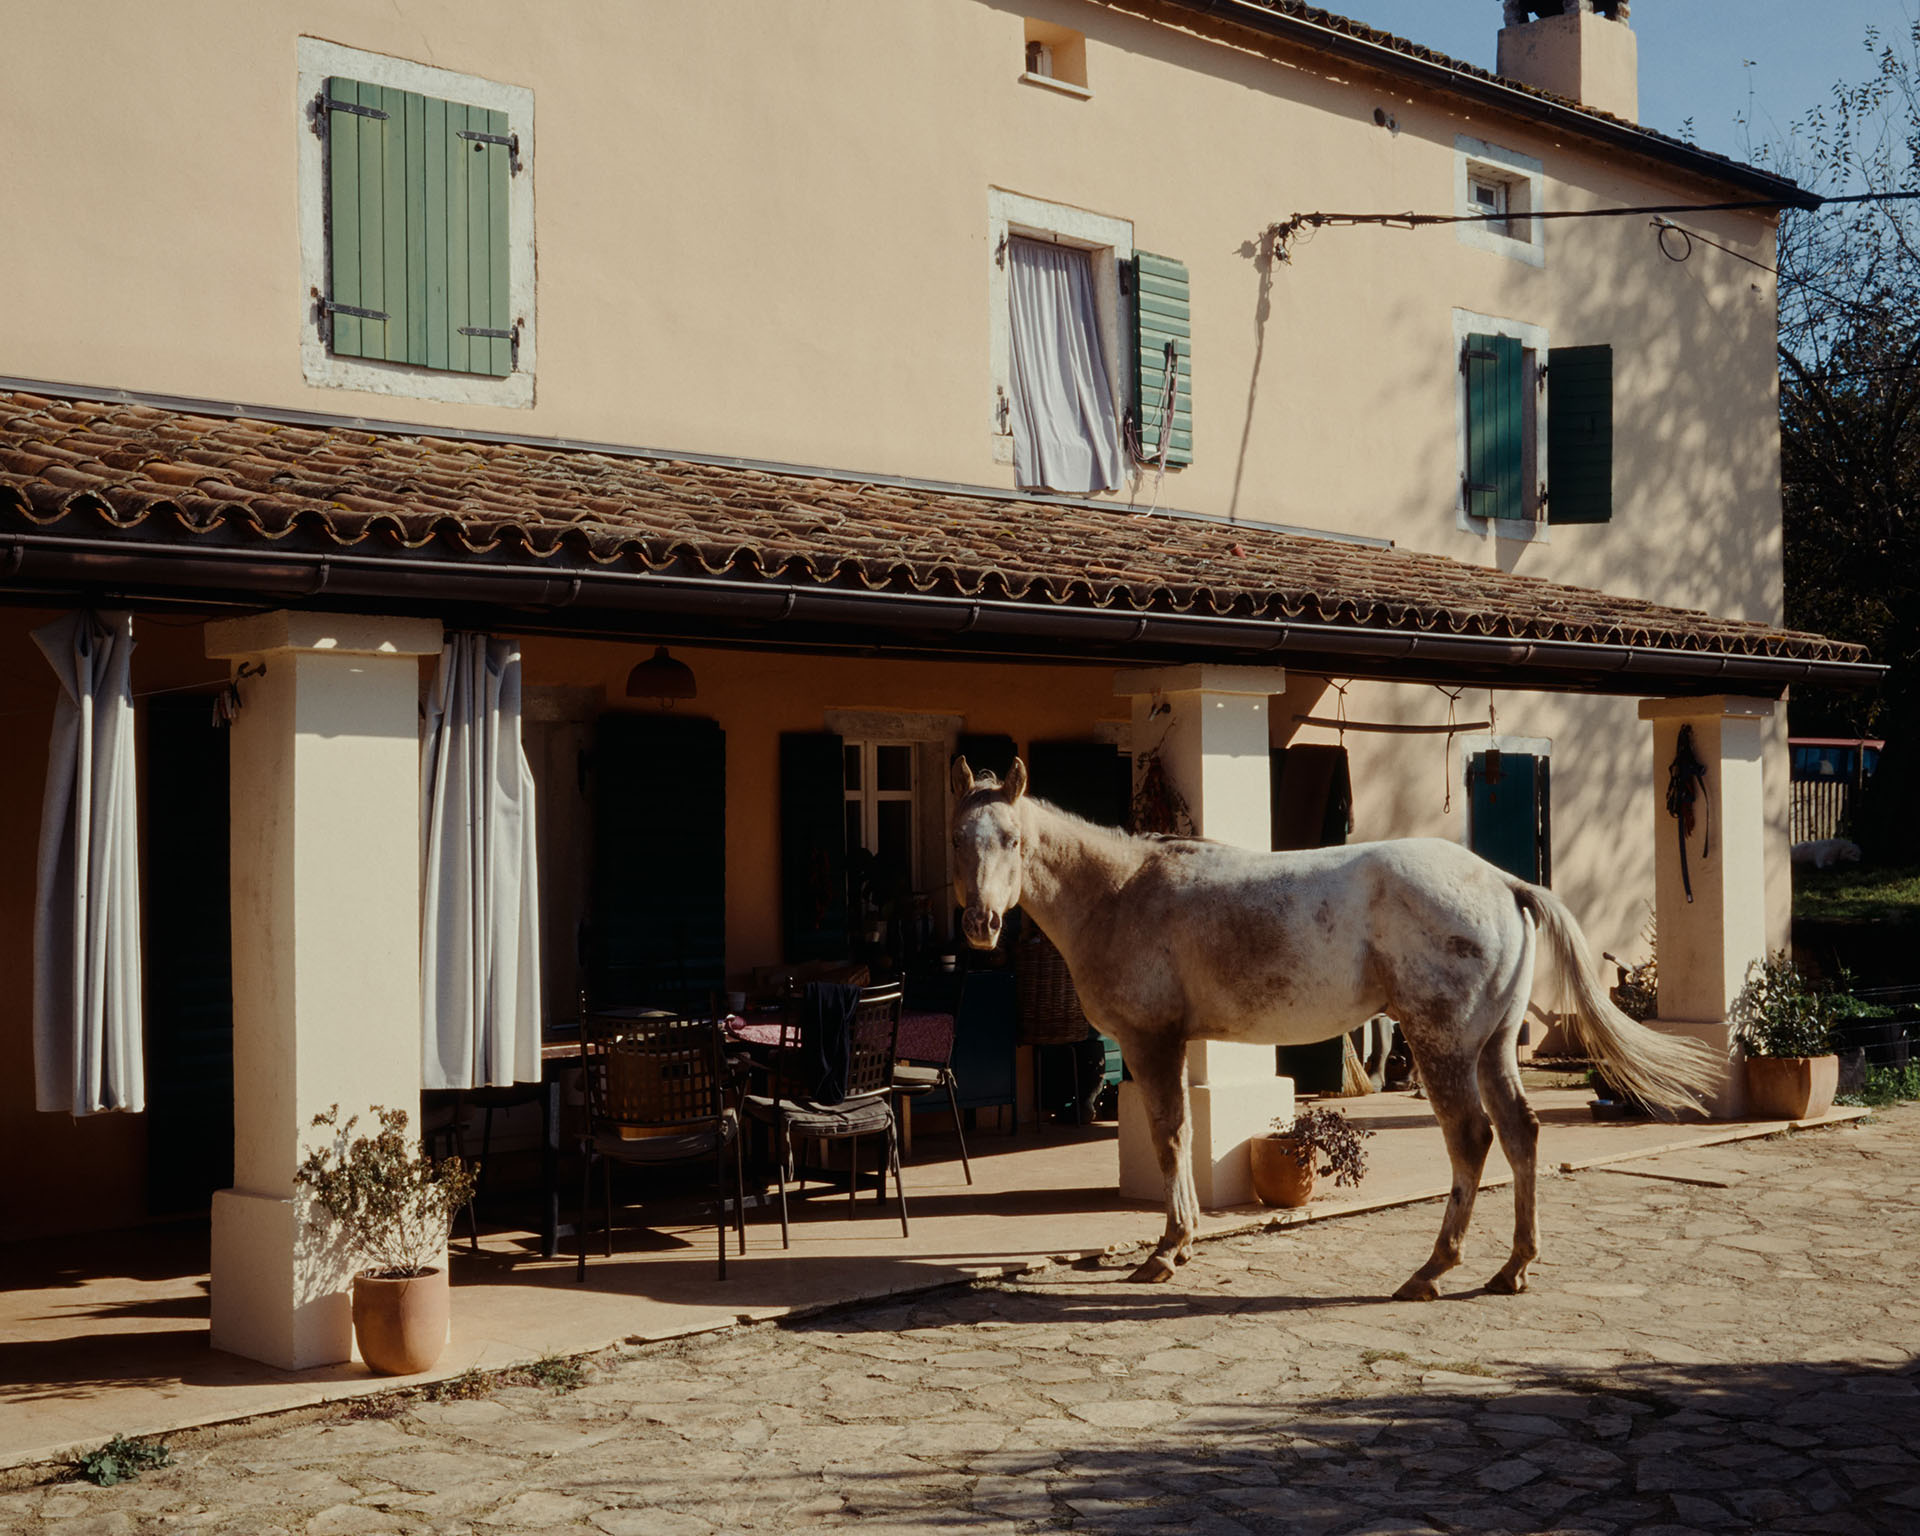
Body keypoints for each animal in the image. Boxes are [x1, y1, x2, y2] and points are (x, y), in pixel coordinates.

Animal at [949, 756, 1717, 1299]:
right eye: (959, 839)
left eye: (1011, 839)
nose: (980, 925)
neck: (1121, 890)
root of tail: (1504, 883)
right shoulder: (1176, 1046)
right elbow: (1185, 1136)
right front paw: (1183, 1240)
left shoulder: (1150, 1042)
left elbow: (1167, 1138)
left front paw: (1166, 1252)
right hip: (1492, 1048)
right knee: (1521, 1134)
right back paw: (1512, 1269)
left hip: (1443, 1049)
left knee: (1472, 1140)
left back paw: (1431, 1270)